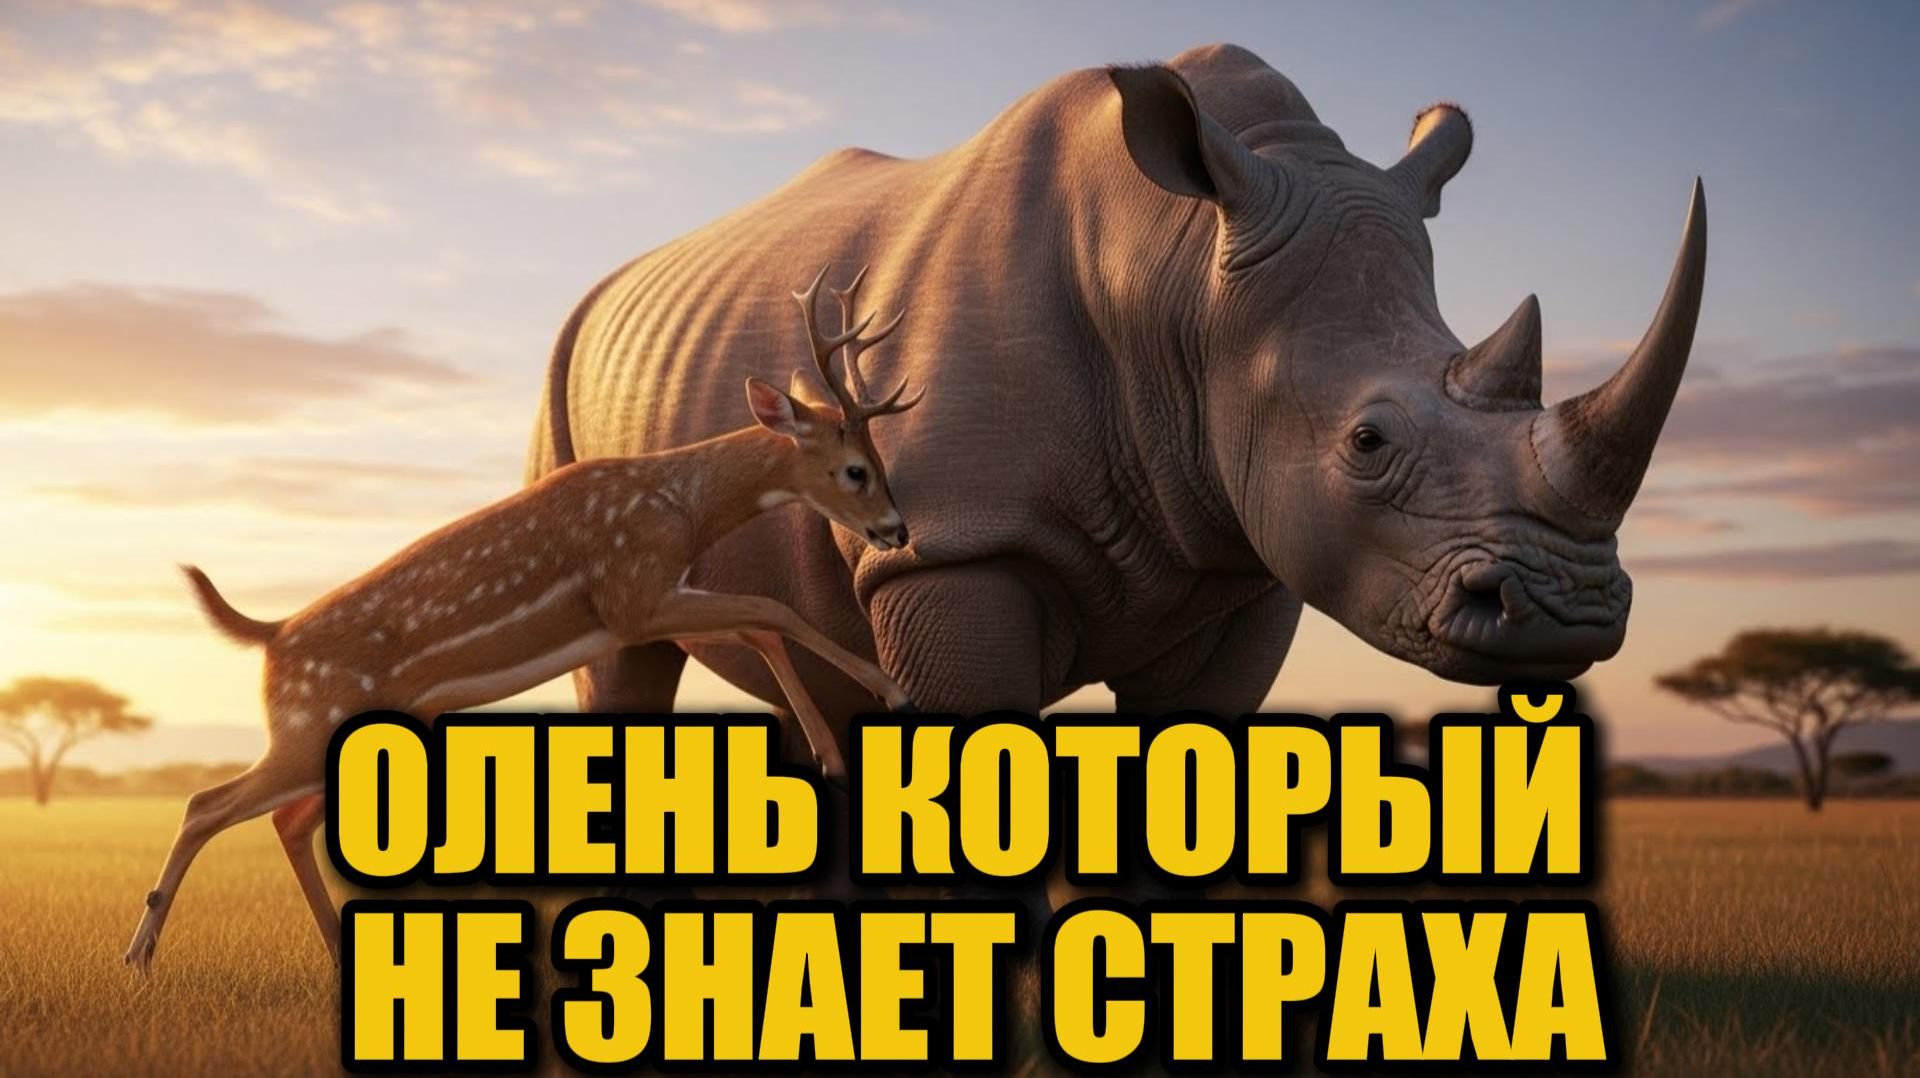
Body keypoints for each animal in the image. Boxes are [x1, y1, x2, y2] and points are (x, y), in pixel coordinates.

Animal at [124, 266, 924, 972]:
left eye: (881, 461)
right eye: (855, 469)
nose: (895, 529)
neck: (682, 508)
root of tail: (273, 636)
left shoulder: (643, 608)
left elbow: (760, 622)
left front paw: (838, 744)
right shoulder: (632, 588)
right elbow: (771, 607)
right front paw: (884, 699)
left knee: (285, 819)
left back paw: (331, 953)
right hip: (310, 719)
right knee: (206, 803)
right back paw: (140, 953)